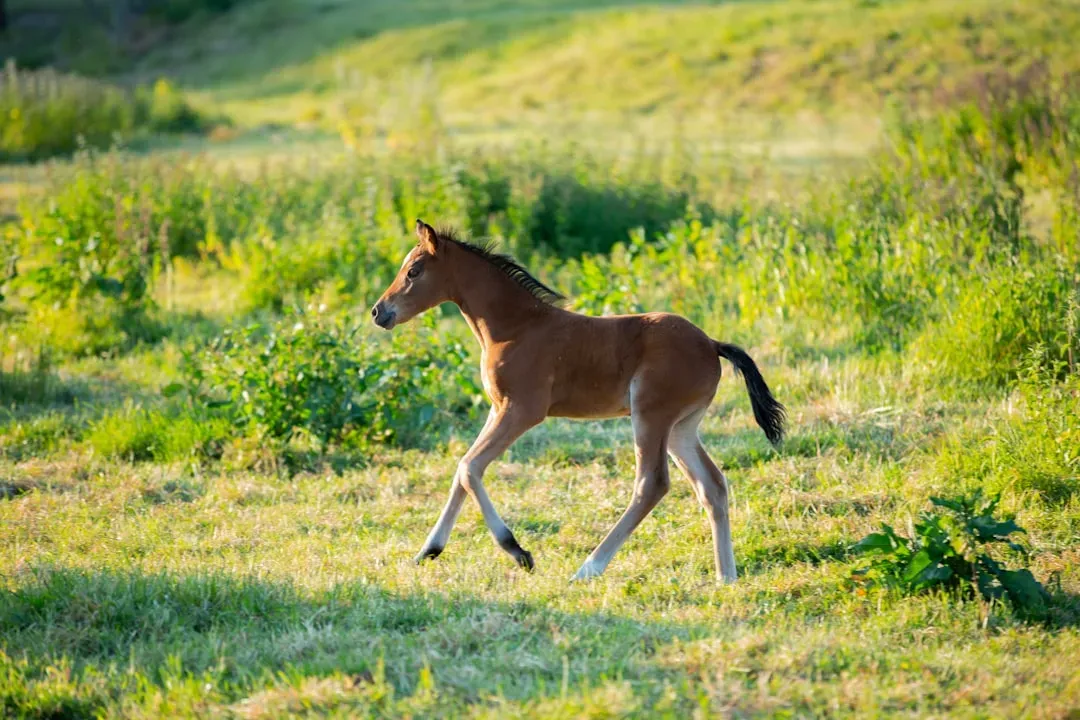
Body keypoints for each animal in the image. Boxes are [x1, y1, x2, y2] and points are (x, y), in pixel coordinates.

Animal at [372, 220, 785, 582]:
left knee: (652, 484)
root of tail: (712, 344)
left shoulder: (523, 410)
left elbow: (470, 467)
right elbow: (462, 469)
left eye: (413, 271)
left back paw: (589, 568)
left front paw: (518, 552)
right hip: (682, 427)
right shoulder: (496, 407)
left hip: (651, 415)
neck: (514, 328)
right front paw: (428, 550)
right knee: (712, 485)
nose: (378, 312)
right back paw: (725, 576)